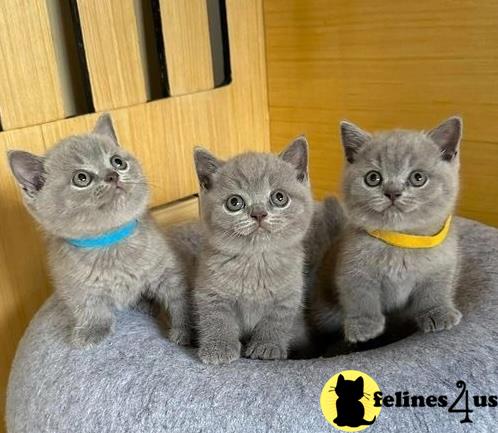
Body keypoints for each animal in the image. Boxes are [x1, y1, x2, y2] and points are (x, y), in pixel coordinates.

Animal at [7, 114, 191, 348]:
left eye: (118, 162)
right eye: (81, 178)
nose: (113, 175)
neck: (110, 240)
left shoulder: (166, 268)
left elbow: (179, 299)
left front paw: (184, 331)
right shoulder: (71, 282)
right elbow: (87, 304)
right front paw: (93, 329)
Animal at [193, 137, 314, 362]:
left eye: (279, 197)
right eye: (234, 202)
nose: (258, 213)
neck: (256, 260)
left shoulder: (288, 296)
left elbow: (276, 321)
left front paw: (267, 346)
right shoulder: (210, 290)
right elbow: (216, 318)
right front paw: (219, 347)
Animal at [316, 116, 462, 342]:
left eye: (418, 178)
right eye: (373, 178)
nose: (392, 192)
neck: (400, 240)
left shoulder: (443, 262)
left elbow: (436, 288)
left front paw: (437, 312)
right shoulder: (352, 265)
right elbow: (359, 293)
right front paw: (365, 325)